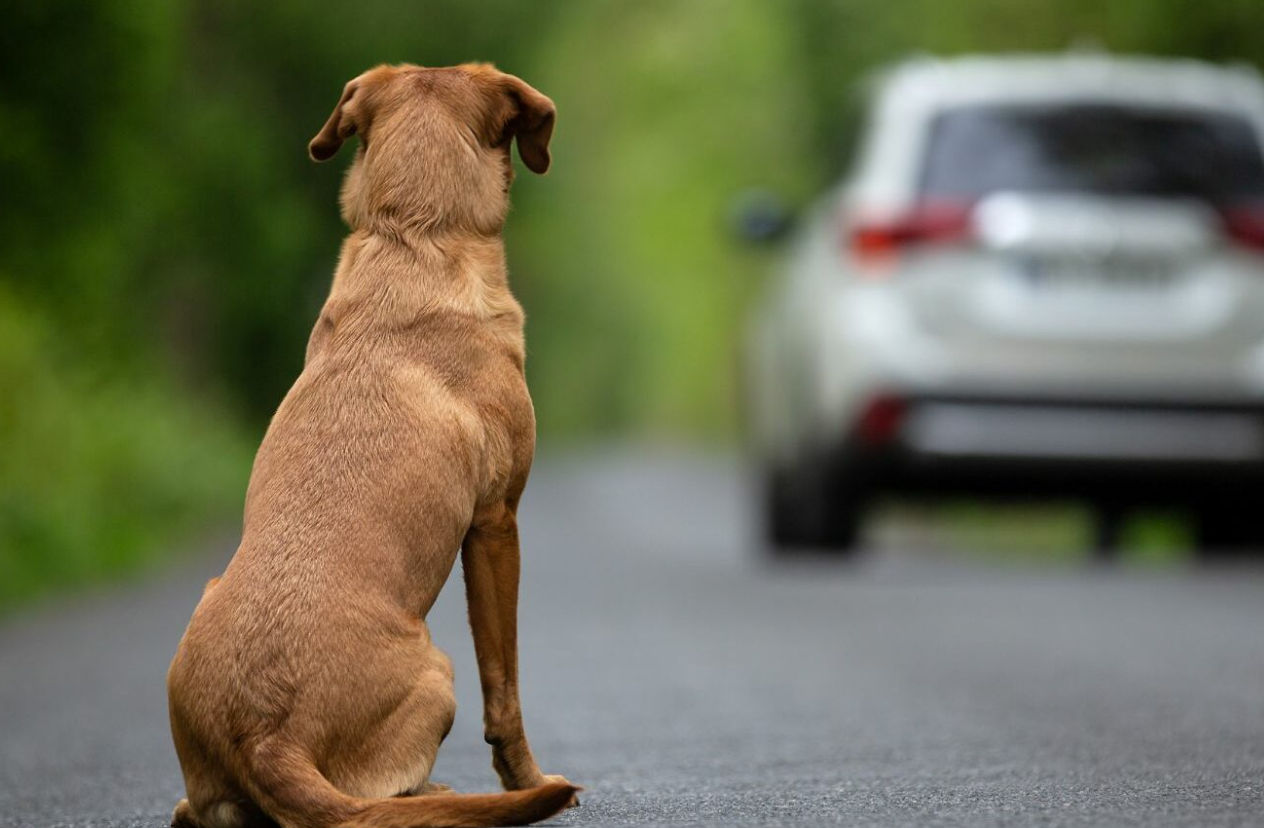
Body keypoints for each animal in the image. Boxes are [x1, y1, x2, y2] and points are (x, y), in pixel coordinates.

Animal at [165, 63, 578, 828]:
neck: (414, 234)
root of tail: (265, 736)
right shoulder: (496, 523)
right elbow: (505, 688)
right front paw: (527, 777)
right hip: (439, 671)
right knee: (387, 794)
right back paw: (447, 793)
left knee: (204, 813)